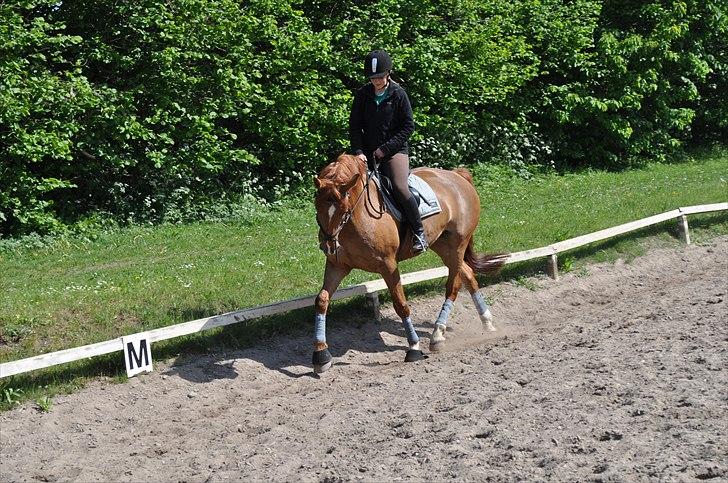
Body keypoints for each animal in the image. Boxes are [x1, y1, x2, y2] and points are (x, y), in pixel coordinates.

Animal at [312, 155, 506, 374]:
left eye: (344, 209)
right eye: (317, 206)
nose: (328, 245)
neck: (357, 217)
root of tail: (457, 176)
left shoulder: (388, 265)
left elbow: (401, 304)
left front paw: (413, 348)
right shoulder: (338, 265)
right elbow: (322, 300)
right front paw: (321, 355)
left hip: (457, 246)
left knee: (453, 286)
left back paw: (437, 335)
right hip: (443, 246)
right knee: (469, 275)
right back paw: (486, 323)